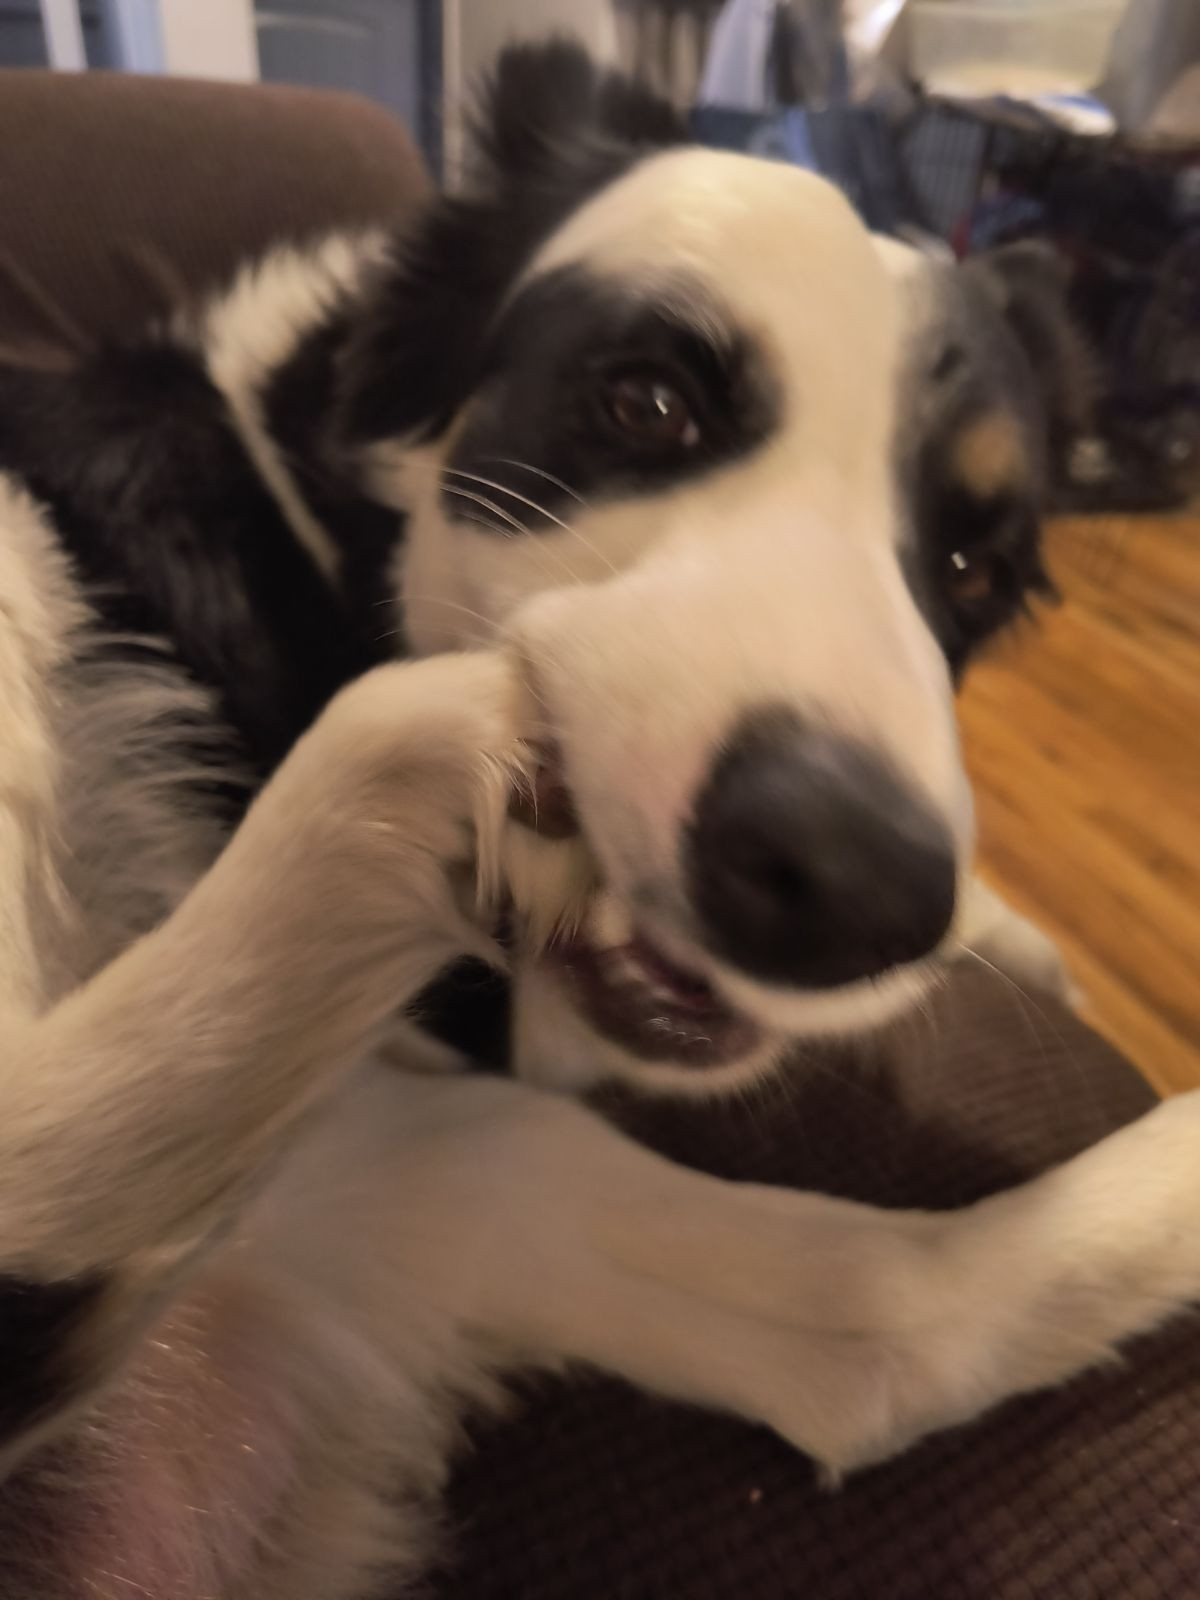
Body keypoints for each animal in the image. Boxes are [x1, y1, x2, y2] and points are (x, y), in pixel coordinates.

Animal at [2, 46, 1200, 1600]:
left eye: (969, 566)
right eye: (647, 405)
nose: (855, 888)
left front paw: (1002, 934)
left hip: (429, 1192)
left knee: (867, 1340)